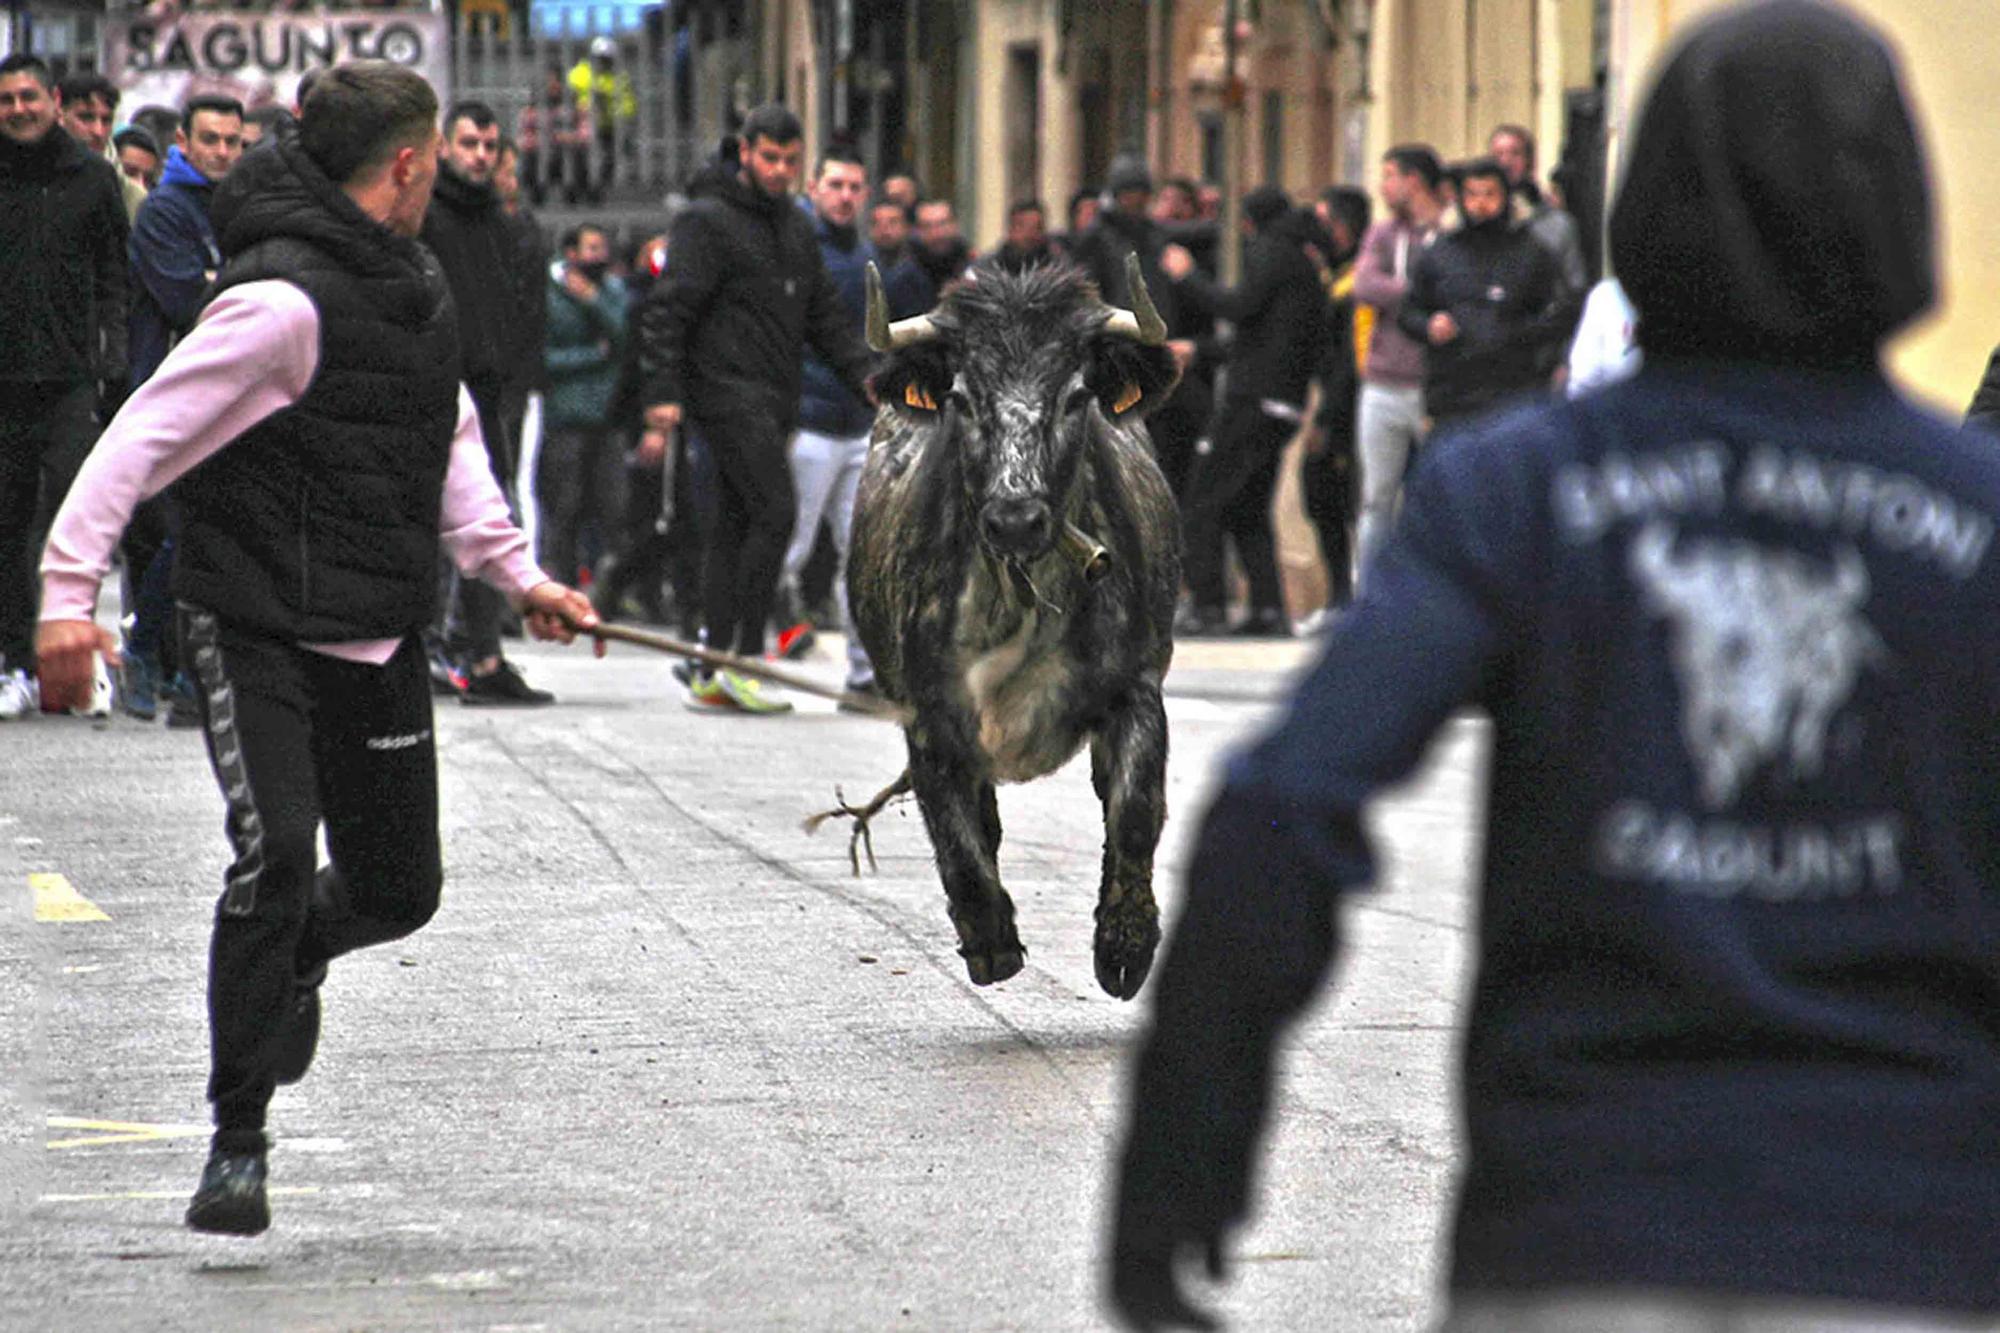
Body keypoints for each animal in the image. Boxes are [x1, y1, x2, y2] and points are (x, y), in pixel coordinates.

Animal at [836, 254, 1176, 992]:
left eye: (1075, 395)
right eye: (963, 398)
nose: (1015, 519)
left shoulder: (1137, 686)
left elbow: (1135, 810)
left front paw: (1125, 946)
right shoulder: (927, 715)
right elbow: (957, 834)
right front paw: (990, 940)